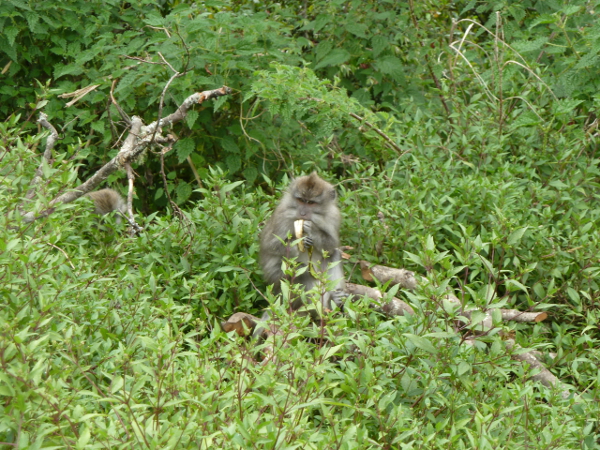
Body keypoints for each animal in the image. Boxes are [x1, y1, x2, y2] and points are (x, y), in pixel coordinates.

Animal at [254, 172, 346, 338]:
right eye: (301, 200)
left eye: (311, 203)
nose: (302, 213)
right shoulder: (282, 214)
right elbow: (270, 244)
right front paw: (298, 241)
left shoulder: (333, 217)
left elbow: (331, 246)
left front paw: (313, 232)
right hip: (279, 280)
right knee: (302, 274)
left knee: (334, 255)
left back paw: (332, 302)